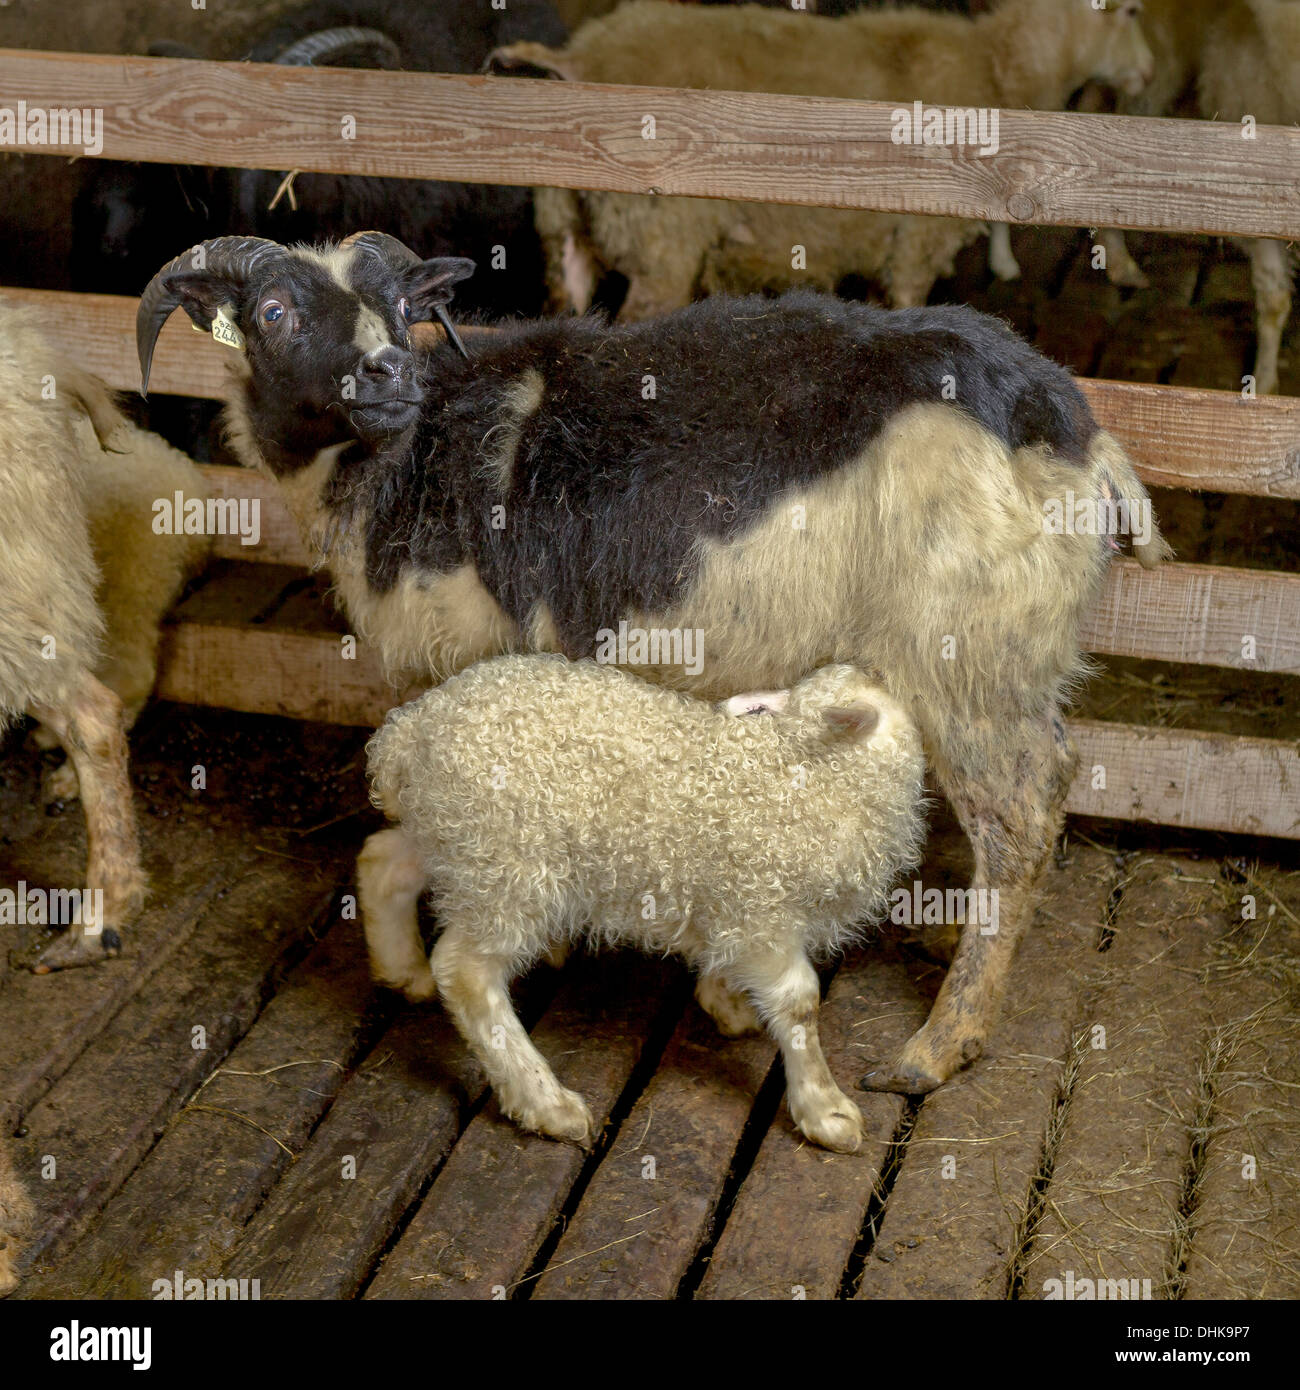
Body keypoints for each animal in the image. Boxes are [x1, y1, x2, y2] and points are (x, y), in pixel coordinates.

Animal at [136, 230, 1168, 1094]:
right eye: (274, 312)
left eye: (398, 306)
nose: (387, 374)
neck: (404, 456)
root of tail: (1076, 433)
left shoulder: (483, 658)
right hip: (1011, 657)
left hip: (967, 655)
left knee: (1020, 813)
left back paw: (938, 1046)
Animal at [360, 655, 927, 1150]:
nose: (876, 666)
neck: (814, 773)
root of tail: (409, 733)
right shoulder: (762, 911)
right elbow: (800, 1003)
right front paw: (826, 1111)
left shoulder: (733, 902)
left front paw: (727, 1002)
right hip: (509, 868)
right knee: (466, 973)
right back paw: (547, 1104)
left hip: (456, 842)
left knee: (383, 863)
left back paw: (402, 970)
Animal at [490, 0, 1155, 317]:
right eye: (1129, 11)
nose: (1145, 75)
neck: (1000, 66)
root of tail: (576, 58)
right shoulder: (916, 241)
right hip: (661, 241)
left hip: (564, 230)